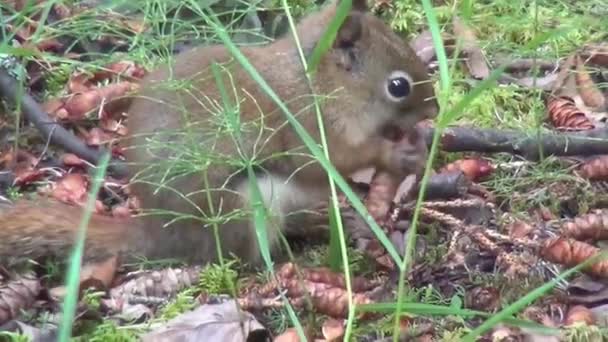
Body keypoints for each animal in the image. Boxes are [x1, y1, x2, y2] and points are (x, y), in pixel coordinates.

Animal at [0, 0, 436, 266]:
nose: (435, 109)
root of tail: (163, 234)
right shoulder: (310, 126)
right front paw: (398, 154)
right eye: (398, 86)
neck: (320, 84)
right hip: (247, 206)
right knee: (246, 254)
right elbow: (333, 161)